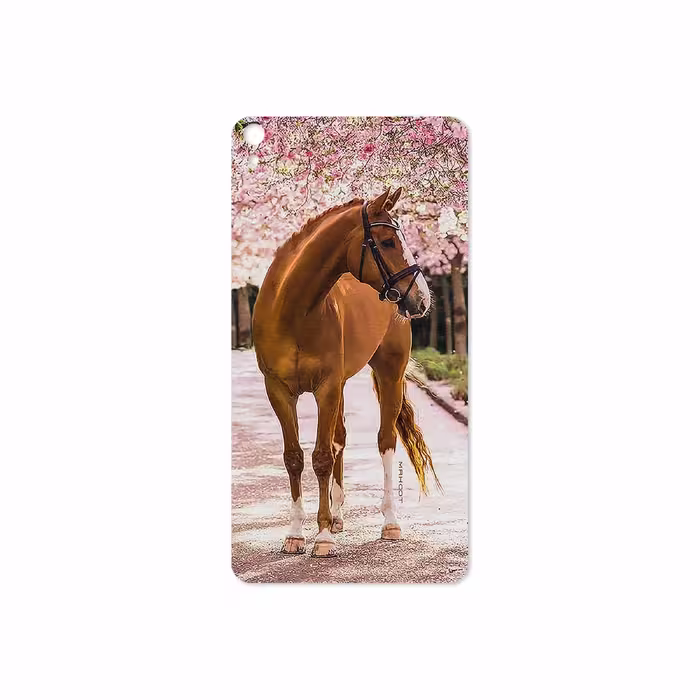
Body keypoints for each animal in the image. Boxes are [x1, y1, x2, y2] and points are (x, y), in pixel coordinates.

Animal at [252, 187, 440, 557]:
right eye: (387, 241)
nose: (422, 299)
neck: (293, 311)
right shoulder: (278, 390)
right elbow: (294, 457)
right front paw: (295, 534)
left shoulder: (326, 387)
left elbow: (322, 457)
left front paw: (322, 537)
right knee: (339, 437)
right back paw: (338, 516)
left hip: (389, 373)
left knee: (385, 440)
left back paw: (389, 522)